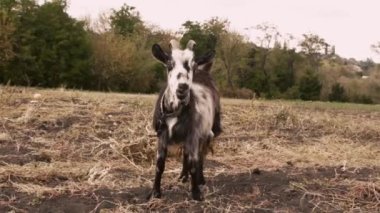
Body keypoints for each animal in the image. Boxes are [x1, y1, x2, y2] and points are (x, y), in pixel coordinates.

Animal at [147, 39, 221, 201]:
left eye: (193, 65)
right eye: (169, 64)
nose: (182, 88)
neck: (175, 111)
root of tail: (205, 71)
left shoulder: (193, 134)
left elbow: (194, 163)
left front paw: (196, 193)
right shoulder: (162, 136)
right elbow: (159, 164)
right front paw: (155, 192)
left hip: (207, 133)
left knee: (201, 156)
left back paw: (200, 179)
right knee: (187, 154)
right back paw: (183, 176)